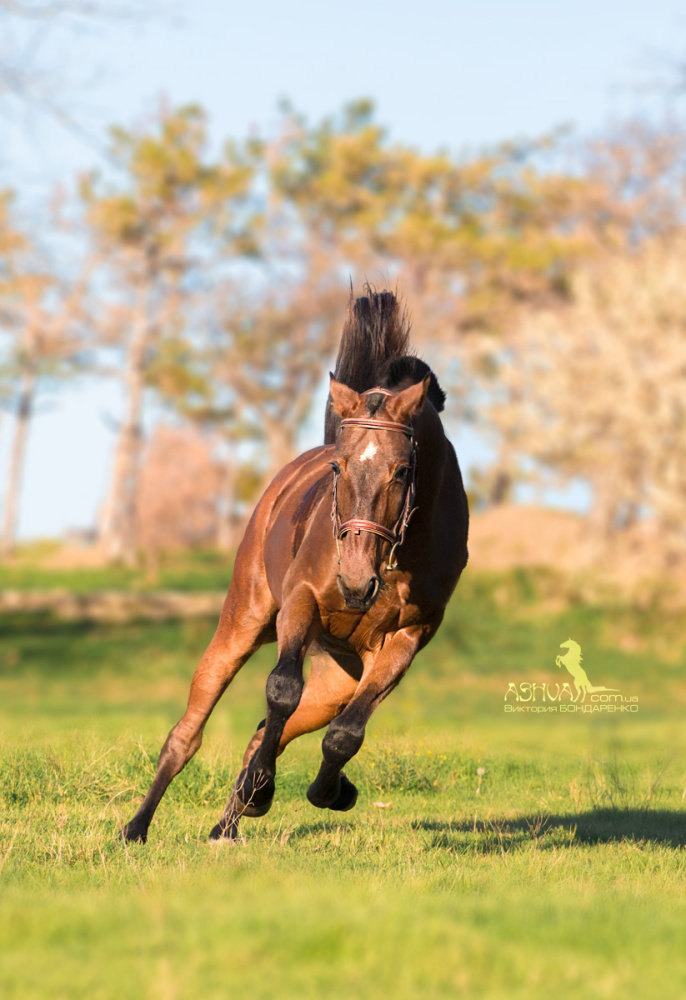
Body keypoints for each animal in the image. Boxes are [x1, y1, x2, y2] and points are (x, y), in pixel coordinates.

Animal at [121, 290, 470, 844]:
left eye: (401, 471)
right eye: (338, 466)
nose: (356, 583)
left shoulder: (406, 639)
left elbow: (345, 734)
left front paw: (331, 792)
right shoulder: (301, 603)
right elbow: (280, 691)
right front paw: (266, 788)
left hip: (338, 677)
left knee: (277, 730)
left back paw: (232, 821)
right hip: (244, 621)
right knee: (189, 731)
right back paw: (139, 826)